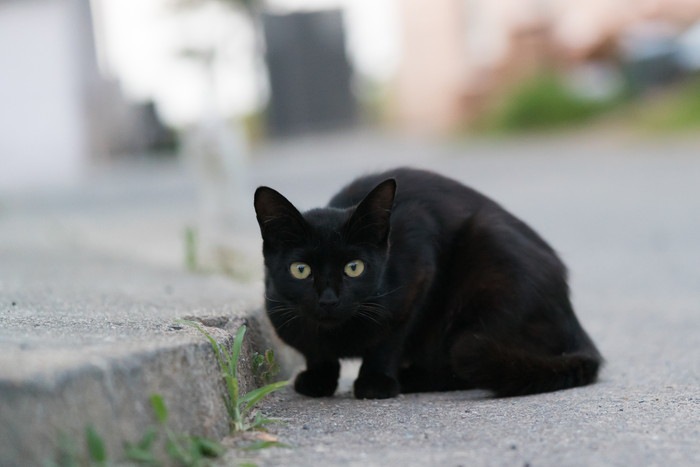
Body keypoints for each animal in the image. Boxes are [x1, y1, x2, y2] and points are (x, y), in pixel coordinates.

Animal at [253, 168, 600, 398]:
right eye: (301, 270)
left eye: (354, 268)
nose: (328, 299)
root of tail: (573, 321)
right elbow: (315, 351)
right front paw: (318, 378)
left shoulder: (420, 269)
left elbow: (391, 338)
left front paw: (375, 382)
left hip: (491, 257)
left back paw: (415, 378)